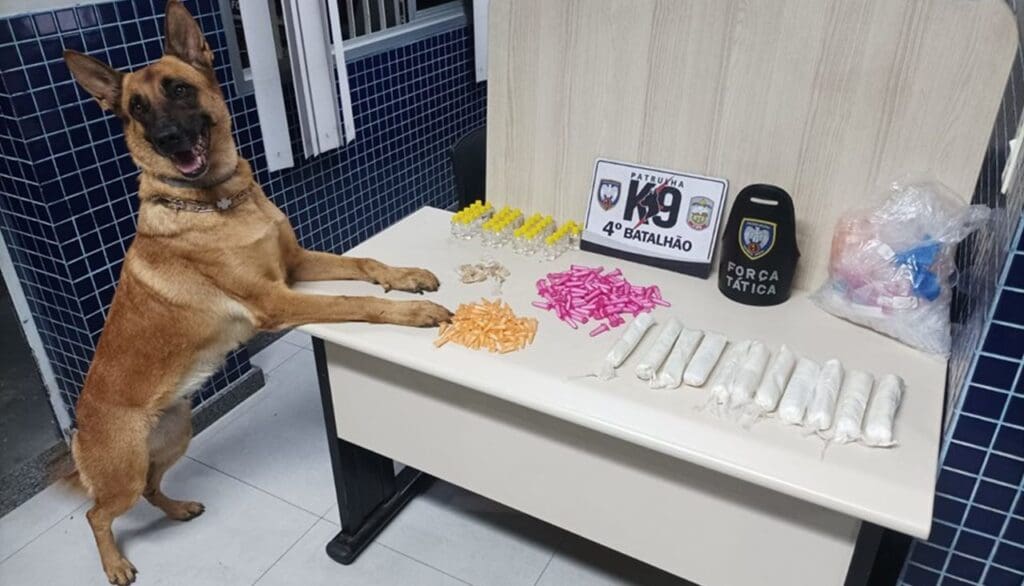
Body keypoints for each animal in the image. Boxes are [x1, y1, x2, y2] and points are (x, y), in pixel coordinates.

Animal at [60, 2, 452, 581]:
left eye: (179, 90)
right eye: (136, 109)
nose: (168, 140)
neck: (218, 201)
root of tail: (78, 427)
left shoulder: (295, 265)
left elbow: (364, 262)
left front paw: (406, 276)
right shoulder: (278, 299)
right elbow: (354, 301)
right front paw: (414, 312)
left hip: (175, 436)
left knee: (151, 490)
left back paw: (179, 509)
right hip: (124, 471)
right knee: (97, 513)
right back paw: (115, 564)